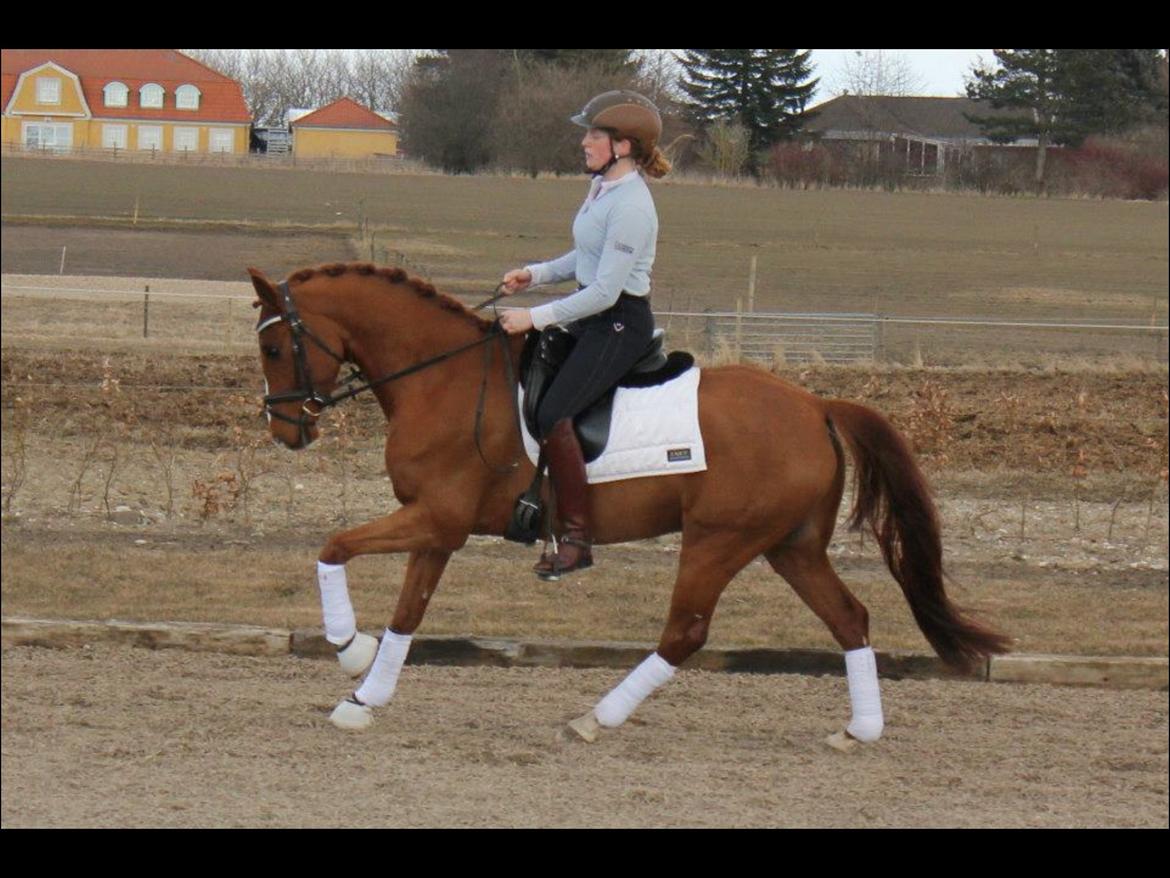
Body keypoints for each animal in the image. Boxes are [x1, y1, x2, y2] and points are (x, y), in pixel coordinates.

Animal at [248, 262, 1010, 748]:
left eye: (278, 346)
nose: (285, 431)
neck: (444, 379)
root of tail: (816, 404)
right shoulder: (439, 528)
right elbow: (408, 614)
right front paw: (363, 698)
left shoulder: (436, 519)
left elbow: (333, 548)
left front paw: (349, 652)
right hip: (789, 545)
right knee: (849, 618)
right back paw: (859, 730)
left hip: (718, 540)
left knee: (685, 633)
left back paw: (594, 719)